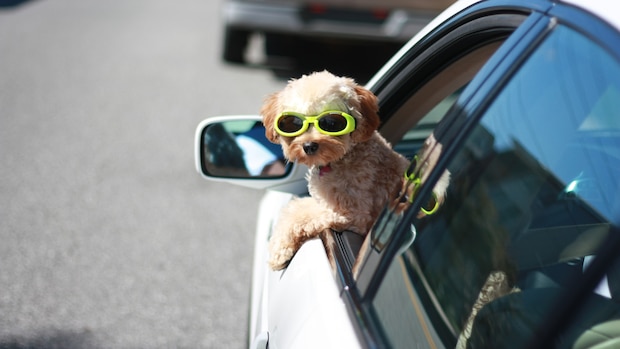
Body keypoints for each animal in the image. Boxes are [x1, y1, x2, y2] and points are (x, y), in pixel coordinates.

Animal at [260, 70, 446, 270]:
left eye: (331, 123)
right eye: (293, 123)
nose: (309, 146)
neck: (342, 158)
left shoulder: (353, 214)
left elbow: (300, 216)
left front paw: (279, 250)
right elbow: (295, 208)